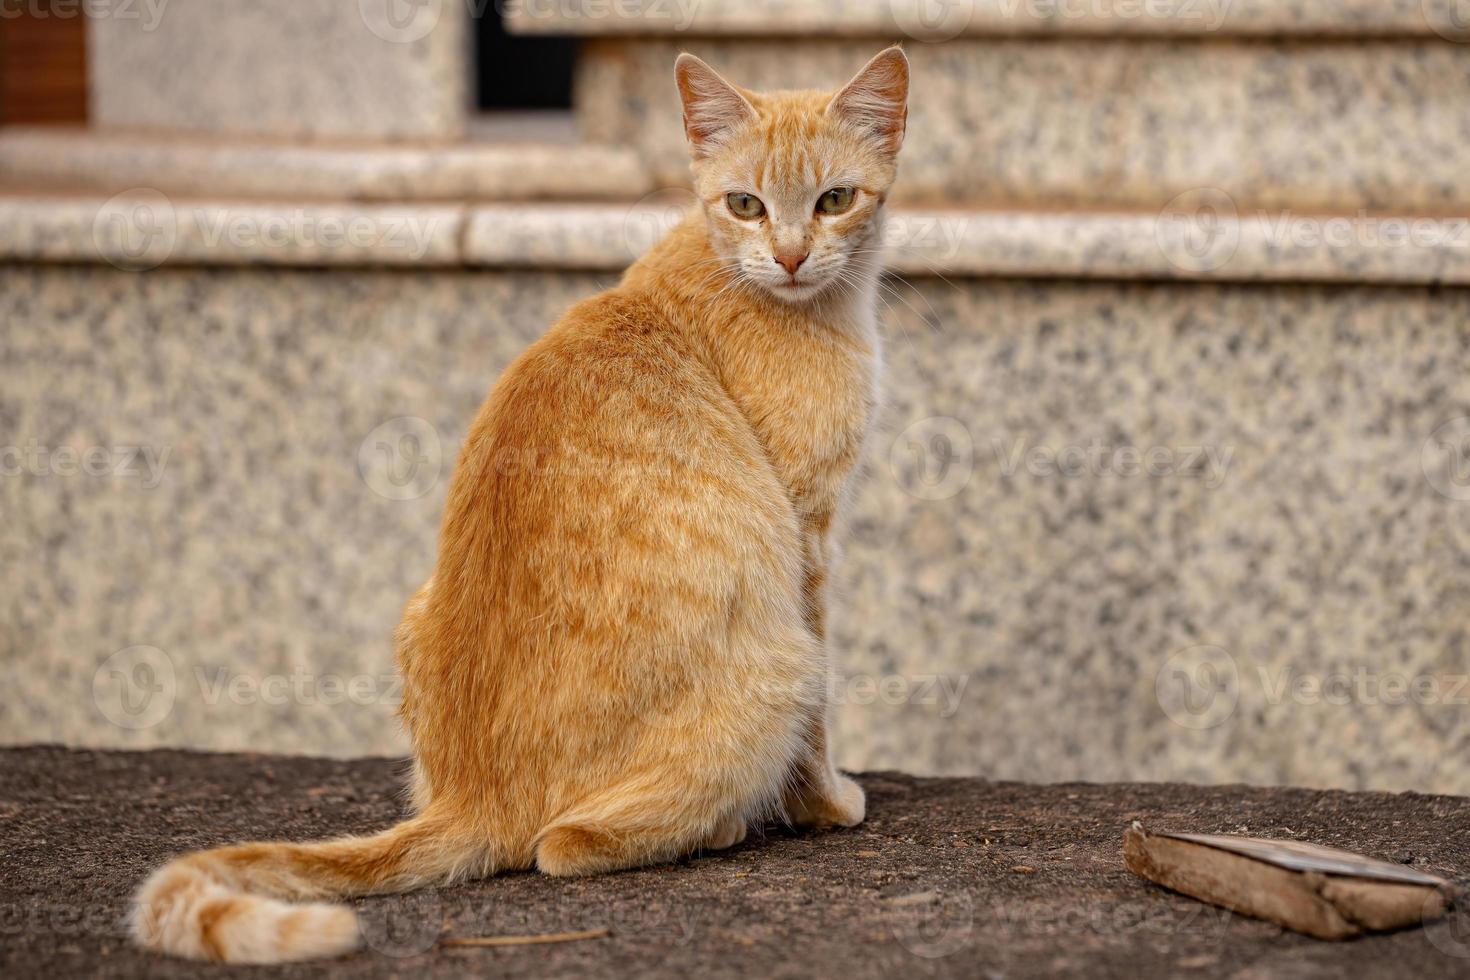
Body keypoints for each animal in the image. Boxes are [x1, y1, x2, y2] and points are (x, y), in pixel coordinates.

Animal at [132, 47, 905, 963]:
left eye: (834, 200)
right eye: (745, 204)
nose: (788, 256)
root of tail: (475, 798)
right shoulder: (808, 539)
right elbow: (819, 732)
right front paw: (826, 805)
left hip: (415, 608)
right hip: (780, 664)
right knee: (562, 846)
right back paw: (715, 827)